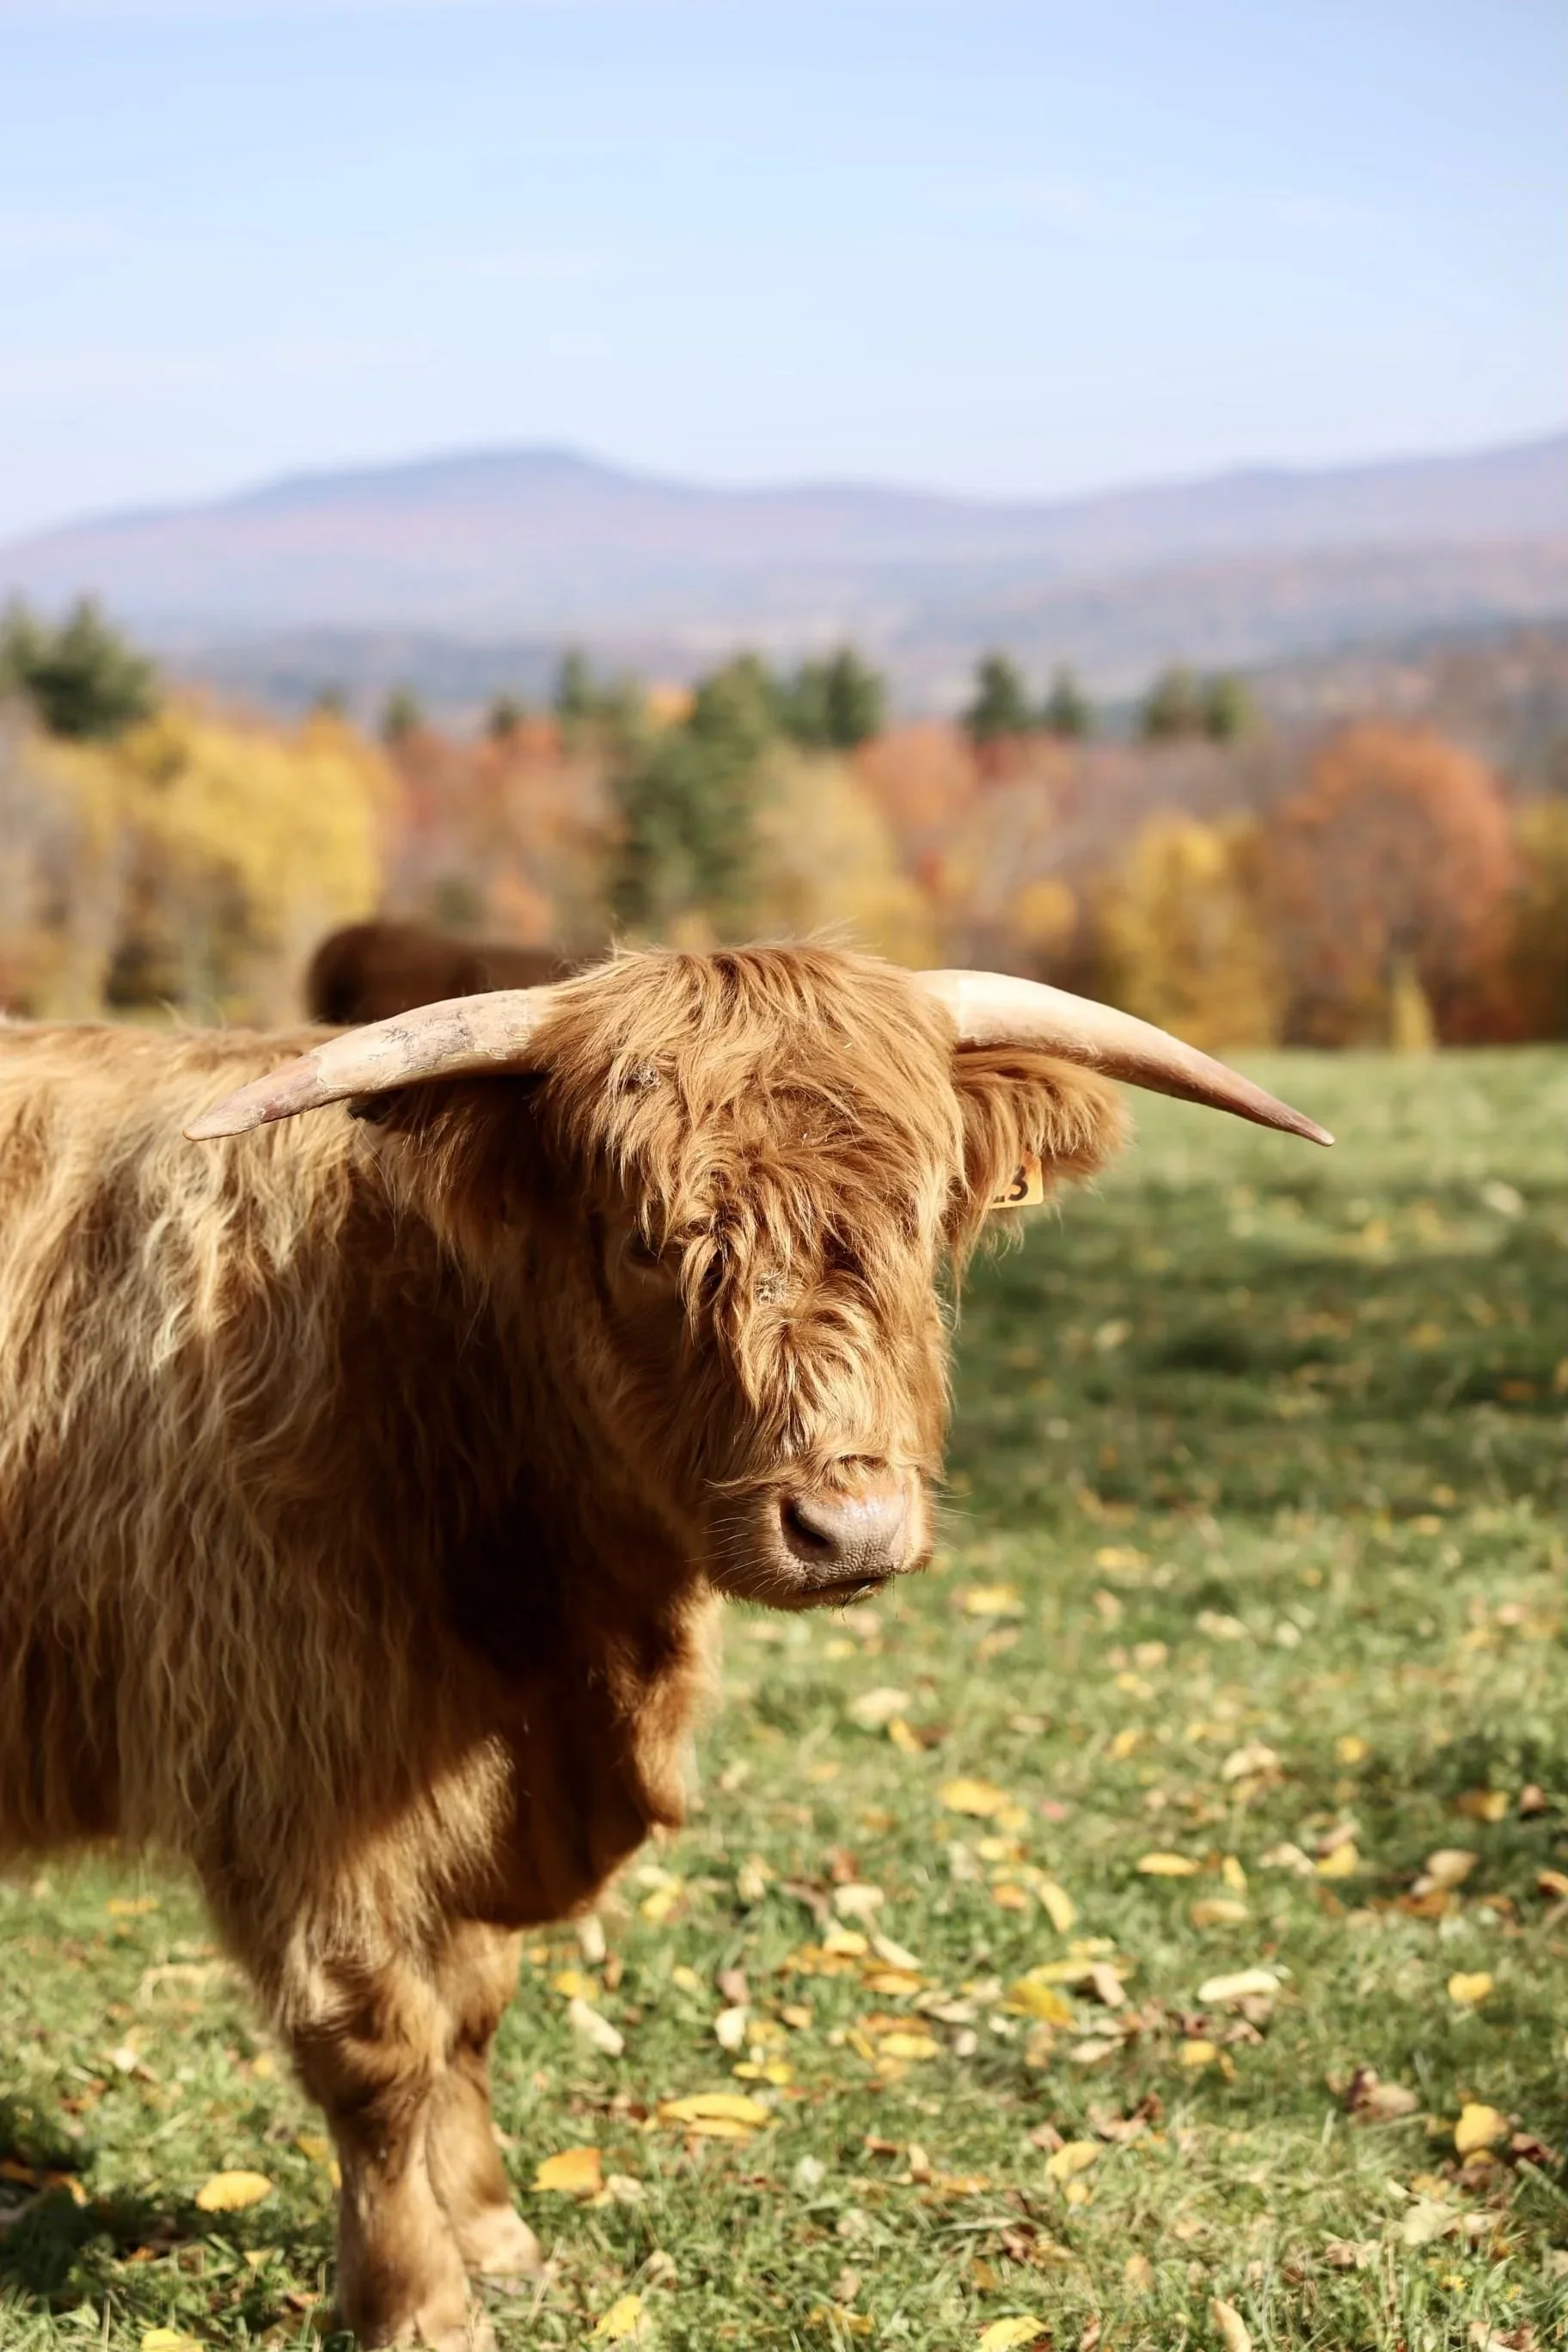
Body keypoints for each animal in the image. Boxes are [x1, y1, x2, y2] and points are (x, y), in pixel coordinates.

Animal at [0, 945, 1329, 2348]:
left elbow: (469, 2011)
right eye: (647, 1242)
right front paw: (421, 2300)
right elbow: (378, 2049)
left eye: (919, 1226)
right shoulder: (295, 1778)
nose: (848, 1527)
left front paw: (496, 2233)